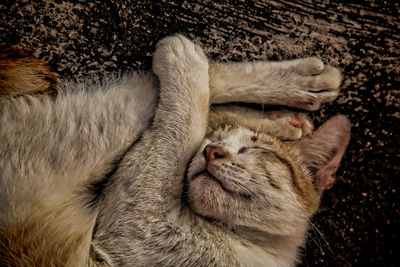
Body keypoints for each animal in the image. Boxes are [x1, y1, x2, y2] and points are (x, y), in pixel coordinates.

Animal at [0, 34, 350, 266]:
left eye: (254, 151)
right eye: (210, 145)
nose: (212, 151)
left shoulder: (138, 222)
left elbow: (184, 122)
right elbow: (190, 124)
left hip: (87, 133)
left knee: (193, 88)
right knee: (203, 84)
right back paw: (295, 99)